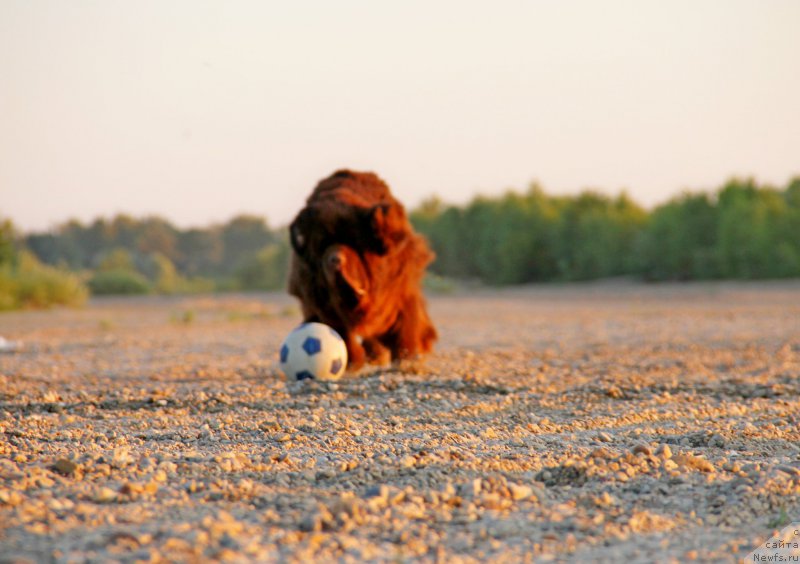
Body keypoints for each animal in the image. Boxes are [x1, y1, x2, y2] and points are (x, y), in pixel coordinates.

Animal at [288, 170, 438, 370]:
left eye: (355, 243)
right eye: (322, 246)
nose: (334, 260)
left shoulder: (401, 289)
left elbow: (407, 322)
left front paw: (407, 358)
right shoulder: (324, 305)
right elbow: (341, 332)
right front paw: (353, 362)